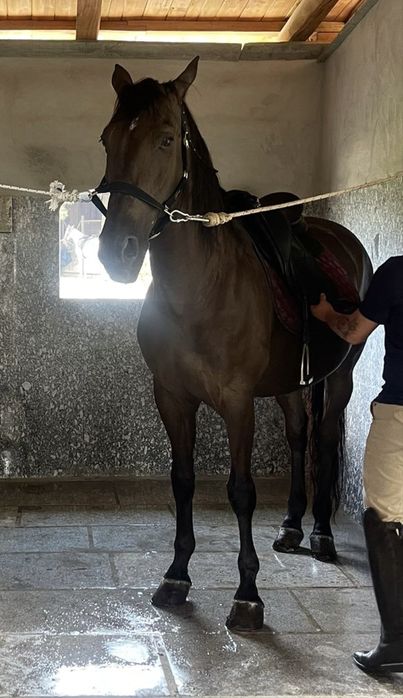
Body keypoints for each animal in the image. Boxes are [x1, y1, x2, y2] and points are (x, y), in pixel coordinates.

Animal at [96, 58, 372, 631]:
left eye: (165, 139)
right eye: (107, 139)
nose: (117, 253)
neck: (200, 288)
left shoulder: (238, 402)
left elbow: (240, 491)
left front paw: (248, 595)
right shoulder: (172, 397)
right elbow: (182, 480)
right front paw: (176, 575)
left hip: (339, 378)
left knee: (324, 439)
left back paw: (321, 534)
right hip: (290, 384)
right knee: (297, 438)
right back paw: (290, 526)